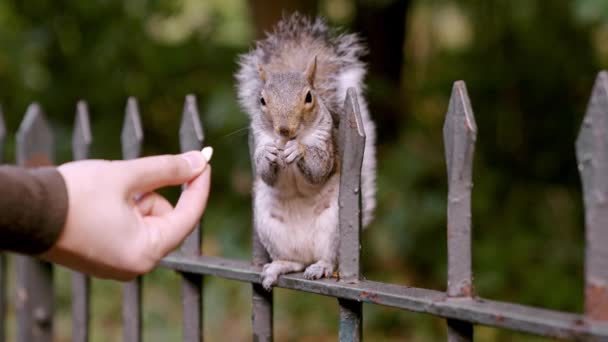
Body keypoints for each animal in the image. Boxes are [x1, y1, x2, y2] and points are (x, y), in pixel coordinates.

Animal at [234, 14, 372, 292]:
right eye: (262, 100)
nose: (284, 129)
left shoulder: (325, 143)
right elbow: (265, 172)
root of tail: (308, 253)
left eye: (309, 97)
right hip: (269, 225)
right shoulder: (261, 138)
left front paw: (297, 151)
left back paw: (321, 267)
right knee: (294, 262)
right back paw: (278, 267)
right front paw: (270, 153)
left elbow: (320, 169)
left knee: (328, 259)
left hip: (333, 226)